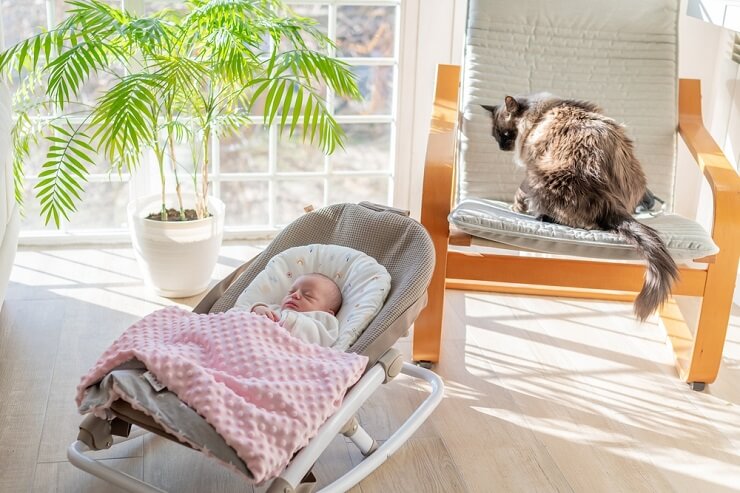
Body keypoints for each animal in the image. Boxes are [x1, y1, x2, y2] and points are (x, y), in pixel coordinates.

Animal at [482, 94, 680, 320]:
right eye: (496, 135)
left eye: (505, 134)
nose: (501, 146)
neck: (538, 114)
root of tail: (612, 203)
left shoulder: (530, 166)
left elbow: (520, 193)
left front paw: (516, 208)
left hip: (541, 176)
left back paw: (542, 216)